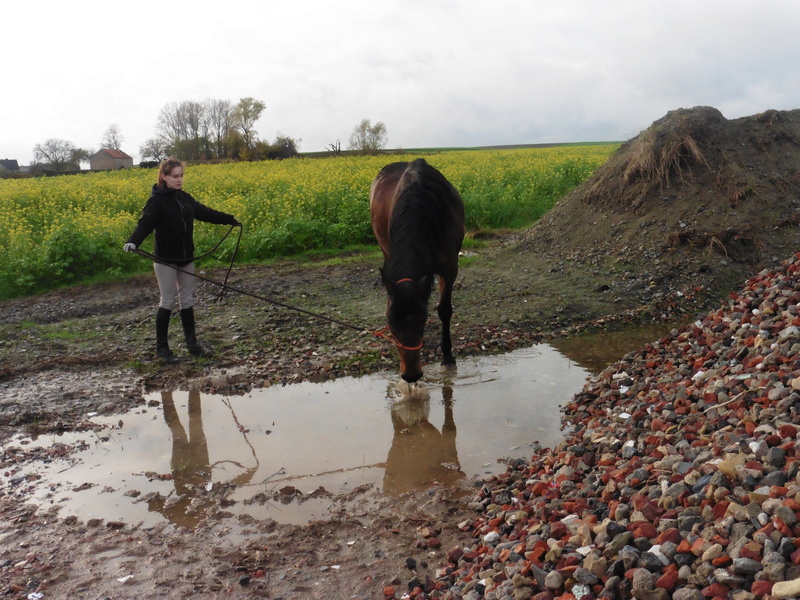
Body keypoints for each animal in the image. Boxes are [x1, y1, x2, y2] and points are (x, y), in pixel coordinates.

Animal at [368, 157, 462, 382]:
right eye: (390, 322)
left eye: (423, 319)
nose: (411, 376)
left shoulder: (449, 267)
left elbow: (445, 310)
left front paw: (447, 356)